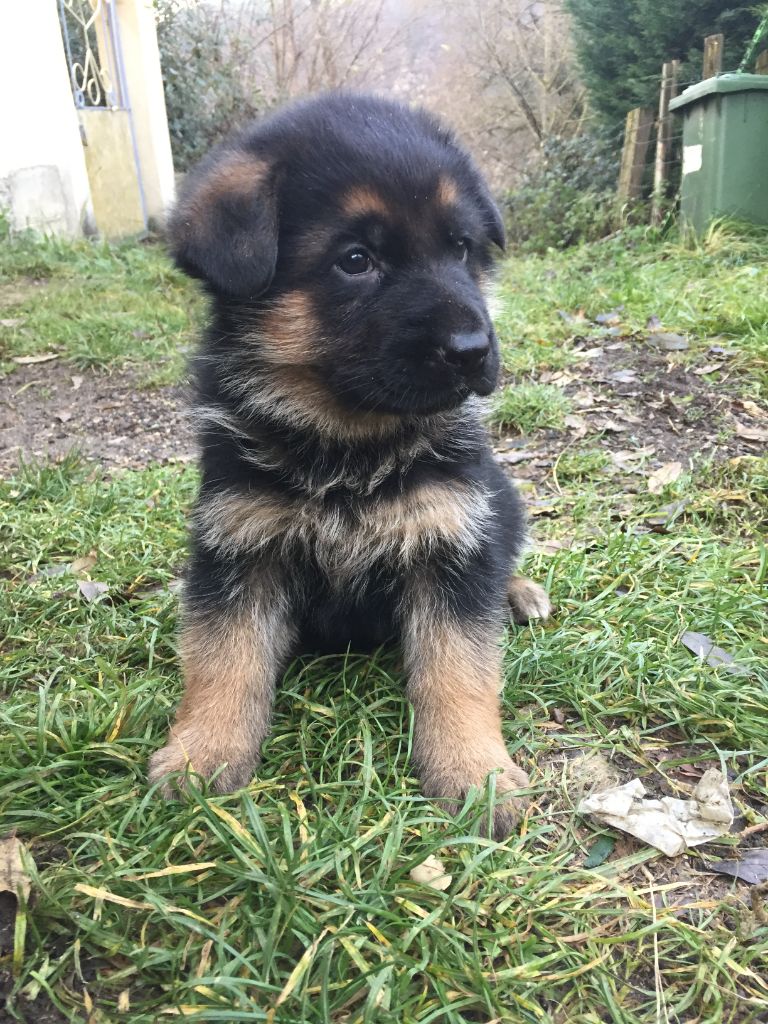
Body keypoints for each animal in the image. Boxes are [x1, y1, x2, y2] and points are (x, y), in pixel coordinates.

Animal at [148, 92, 551, 838]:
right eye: (356, 260)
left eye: (460, 248)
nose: (473, 349)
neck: (346, 443)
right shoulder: (238, 545)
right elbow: (223, 659)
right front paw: (202, 753)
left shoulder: (449, 541)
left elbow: (461, 668)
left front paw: (475, 773)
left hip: (499, 497)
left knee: (502, 553)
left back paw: (518, 592)